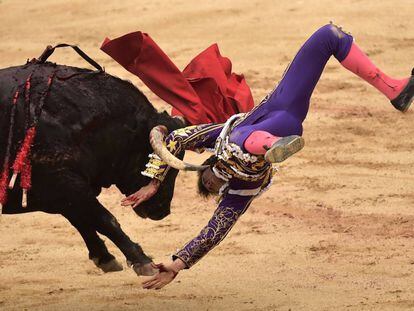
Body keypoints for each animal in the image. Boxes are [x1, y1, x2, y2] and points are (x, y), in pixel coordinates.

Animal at [0, 61, 184, 276]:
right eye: (156, 165)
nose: (162, 211)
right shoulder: (61, 182)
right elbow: (104, 219)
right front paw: (143, 261)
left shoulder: (64, 191)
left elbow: (82, 219)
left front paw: (105, 258)